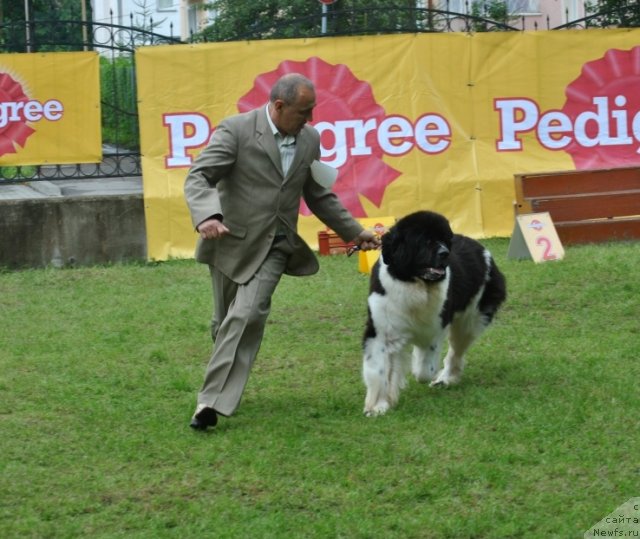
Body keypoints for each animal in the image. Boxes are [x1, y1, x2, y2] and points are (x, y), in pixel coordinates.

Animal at [360, 211, 504, 418]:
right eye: (425, 241)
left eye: (445, 240)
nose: (445, 253)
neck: (414, 284)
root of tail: (482, 249)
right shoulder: (381, 332)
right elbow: (378, 369)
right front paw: (378, 405)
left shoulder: (433, 330)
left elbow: (423, 370)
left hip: (471, 319)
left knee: (456, 351)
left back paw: (446, 379)